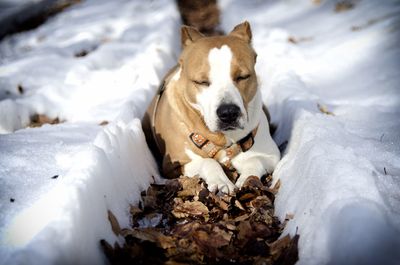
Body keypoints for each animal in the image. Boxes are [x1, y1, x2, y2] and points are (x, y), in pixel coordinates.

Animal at [143, 21, 278, 193]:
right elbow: (208, 161)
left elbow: (254, 161)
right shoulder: (174, 164)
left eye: (243, 77)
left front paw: (248, 180)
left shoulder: (271, 154)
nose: (229, 113)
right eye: (202, 82)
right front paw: (221, 182)